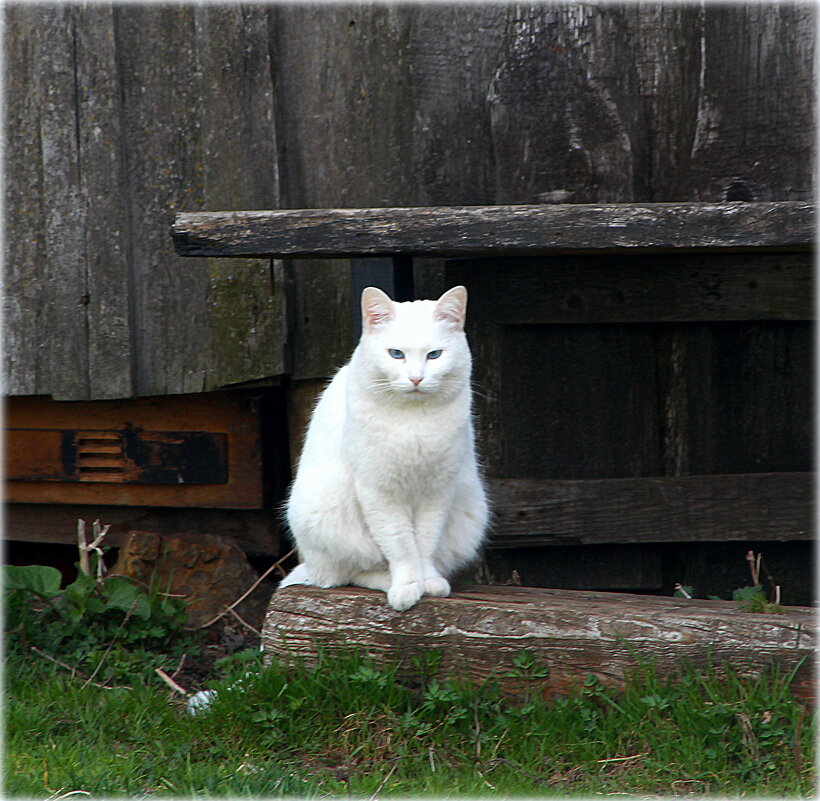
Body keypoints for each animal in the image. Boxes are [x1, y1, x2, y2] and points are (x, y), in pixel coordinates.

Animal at [280, 284, 486, 608]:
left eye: (434, 355)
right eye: (396, 354)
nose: (416, 378)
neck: (413, 422)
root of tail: (310, 568)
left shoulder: (437, 491)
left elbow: (424, 544)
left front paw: (428, 581)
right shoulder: (380, 493)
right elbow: (401, 546)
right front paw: (407, 587)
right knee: (347, 575)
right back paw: (387, 581)